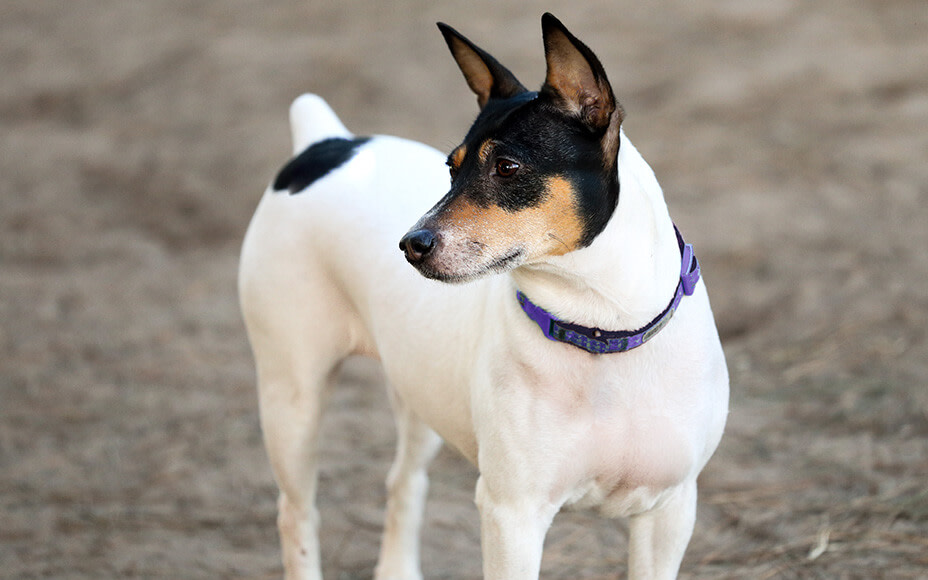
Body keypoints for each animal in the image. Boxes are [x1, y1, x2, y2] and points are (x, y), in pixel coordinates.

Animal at [241, 13, 732, 580]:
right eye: (451, 168)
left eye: (508, 167)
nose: (411, 244)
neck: (601, 331)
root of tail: (323, 143)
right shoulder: (512, 515)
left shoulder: (669, 510)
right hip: (292, 398)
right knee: (296, 512)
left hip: (417, 387)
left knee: (404, 480)